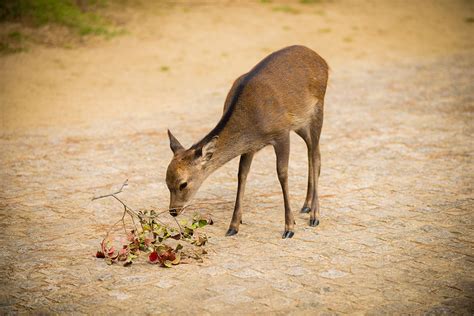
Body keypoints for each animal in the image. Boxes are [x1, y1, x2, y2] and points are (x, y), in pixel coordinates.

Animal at [166, 45, 326, 239]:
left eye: (183, 184)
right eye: (166, 182)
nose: (173, 211)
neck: (252, 124)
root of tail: (321, 60)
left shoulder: (281, 133)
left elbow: (282, 174)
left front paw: (289, 227)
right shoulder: (250, 147)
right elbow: (242, 175)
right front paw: (234, 225)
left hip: (318, 108)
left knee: (315, 156)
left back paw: (315, 215)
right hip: (300, 122)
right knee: (313, 151)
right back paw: (306, 205)